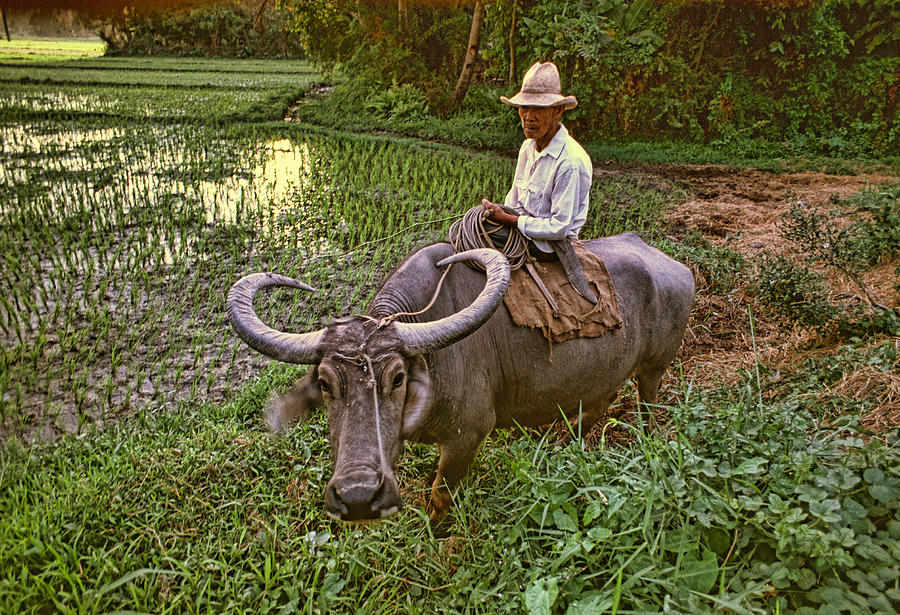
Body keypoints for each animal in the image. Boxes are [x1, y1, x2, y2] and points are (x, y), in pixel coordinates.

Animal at [229, 233, 692, 524]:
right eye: (325, 383)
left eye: (398, 377)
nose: (359, 497)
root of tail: (676, 268)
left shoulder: (467, 436)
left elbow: (440, 494)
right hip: (600, 379)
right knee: (594, 408)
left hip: (655, 368)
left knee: (647, 401)